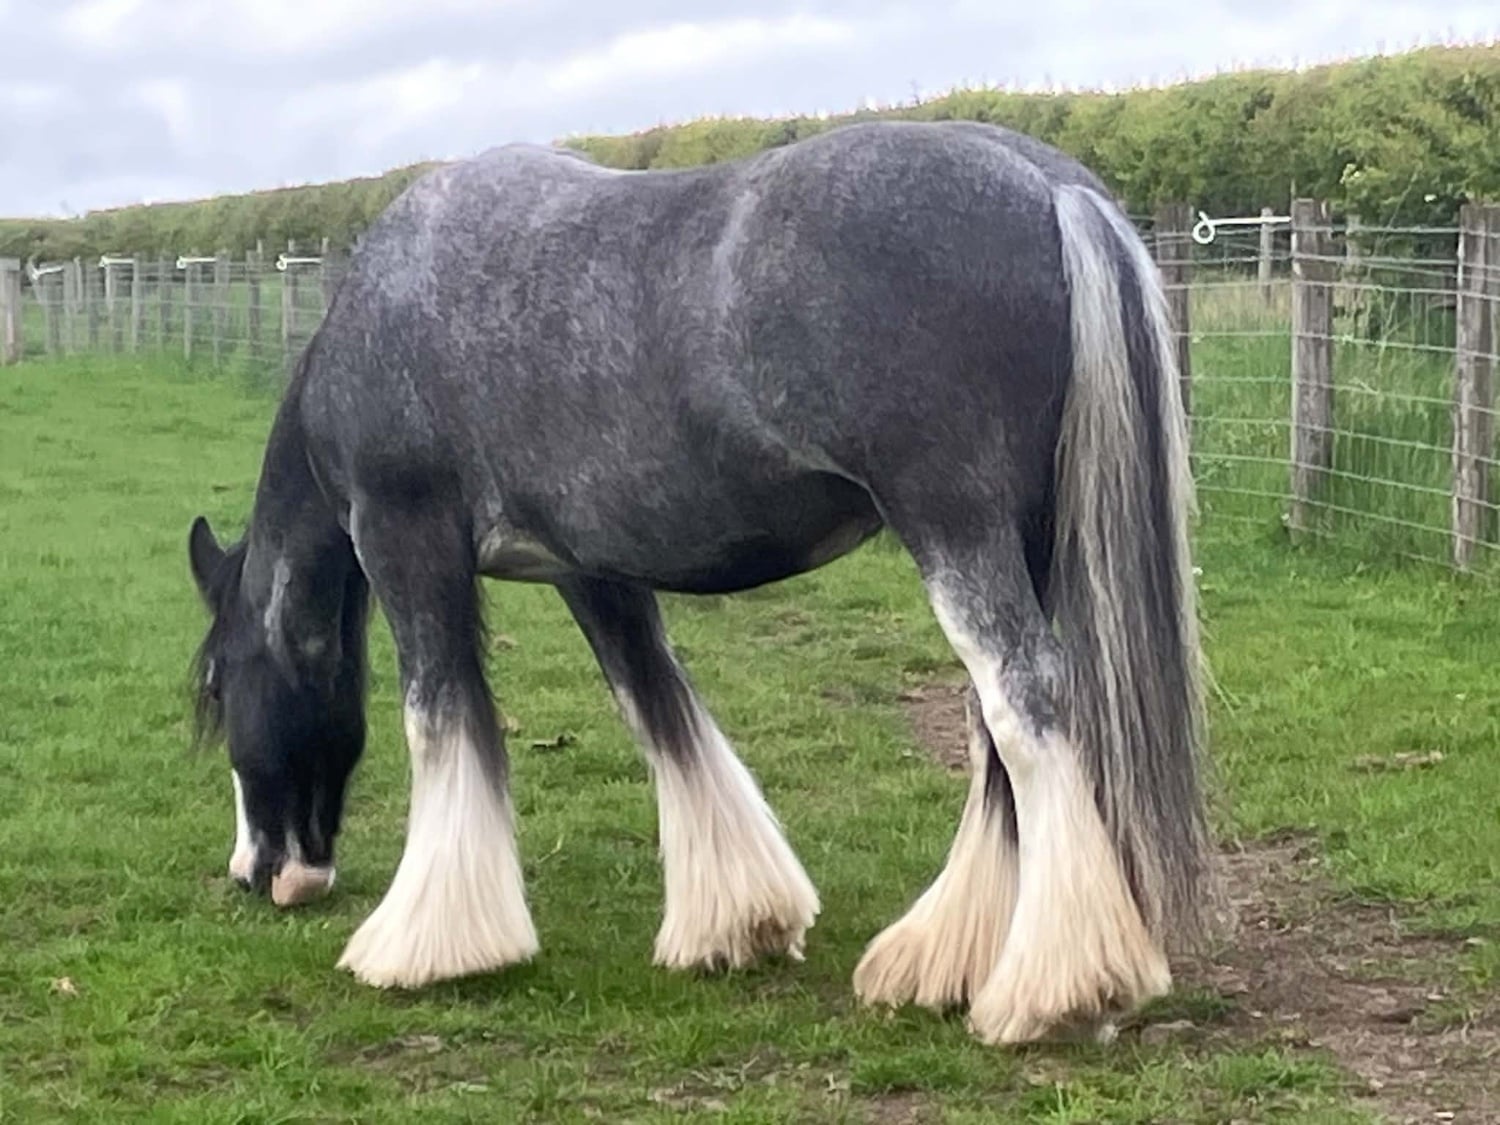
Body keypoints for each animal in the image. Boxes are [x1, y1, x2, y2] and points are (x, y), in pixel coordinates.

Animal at [185, 118, 1213, 1046]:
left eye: (221, 690)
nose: (255, 869)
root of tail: (1047, 185)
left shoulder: (409, 542)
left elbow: (440, 722)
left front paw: (422, 945)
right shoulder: (591, 570)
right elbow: (659, 708)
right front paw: (739, 919)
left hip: (958, 530)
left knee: (1025, 699)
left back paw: (1055, 988)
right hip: (1019, 540)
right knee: (991, 723)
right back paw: (944, 958)